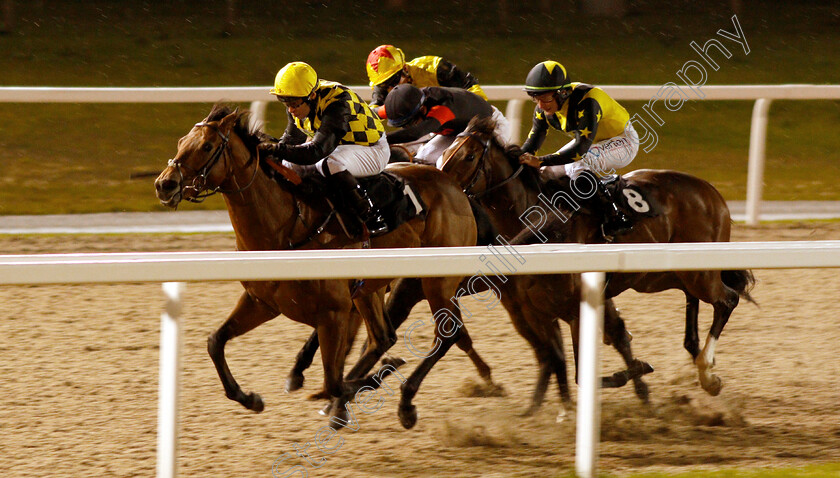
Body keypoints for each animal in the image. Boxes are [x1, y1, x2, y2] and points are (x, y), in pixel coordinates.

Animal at [154, 103, 488, 422]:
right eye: (181, 142)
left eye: (207, 146)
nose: (164, 184)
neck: (285, 227)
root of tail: (450, 181)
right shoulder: (262, 302)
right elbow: (215, 342)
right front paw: (250, 398)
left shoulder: (333, 313)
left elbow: (333, 382)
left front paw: (371, 379)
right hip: (369, 288)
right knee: (383, 337)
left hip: (436, 281)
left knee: (447, 334)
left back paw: (405, 402)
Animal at [440, 116, 756, 418]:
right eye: (444, 152)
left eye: (469, 156)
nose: (444, 186)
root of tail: (711, 192)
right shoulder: (534, 310)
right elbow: (564, 357)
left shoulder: (575, 308)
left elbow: (585, 369)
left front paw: (636, 372)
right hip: (666, 275)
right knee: (696, 305)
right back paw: (699, 363)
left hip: (698, 274)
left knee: (727, 300)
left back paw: (707, 373)